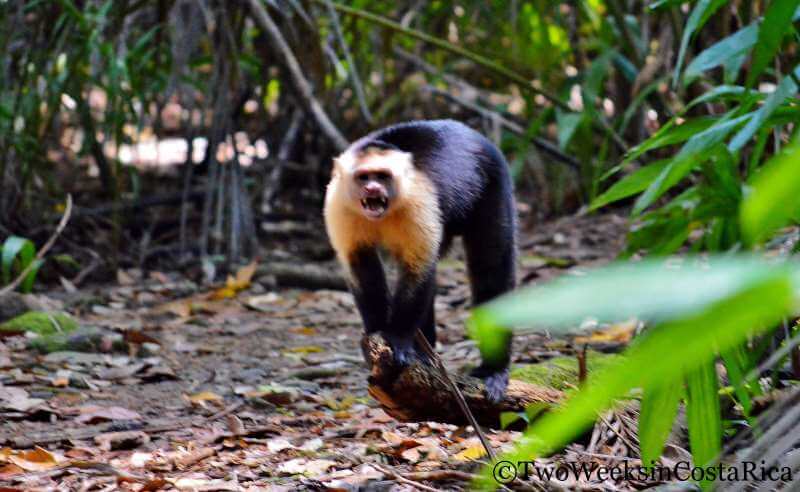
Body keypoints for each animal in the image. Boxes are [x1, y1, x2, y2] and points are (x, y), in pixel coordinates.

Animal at [323, 120, 516, 403]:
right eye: (363, 177)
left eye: (382, 176)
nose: (372, 189)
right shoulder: (338, 203)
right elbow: (361, 267)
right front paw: (375, 334)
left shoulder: (417, 200)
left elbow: (418, 269)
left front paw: (399, 340)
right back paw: (426, 354)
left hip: (494, 181)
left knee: (491, 271)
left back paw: (493, 370)